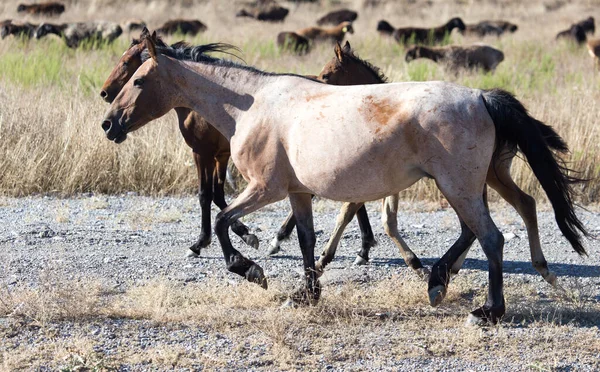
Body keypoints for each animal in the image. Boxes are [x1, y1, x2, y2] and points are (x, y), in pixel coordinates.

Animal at [99, 30, 258, 254]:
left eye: (126, 62)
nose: (104, 92)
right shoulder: (220, 155)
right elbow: (217, 195)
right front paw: (244, 232)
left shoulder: (202, 153)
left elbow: (205, 195)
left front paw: (201, 242)